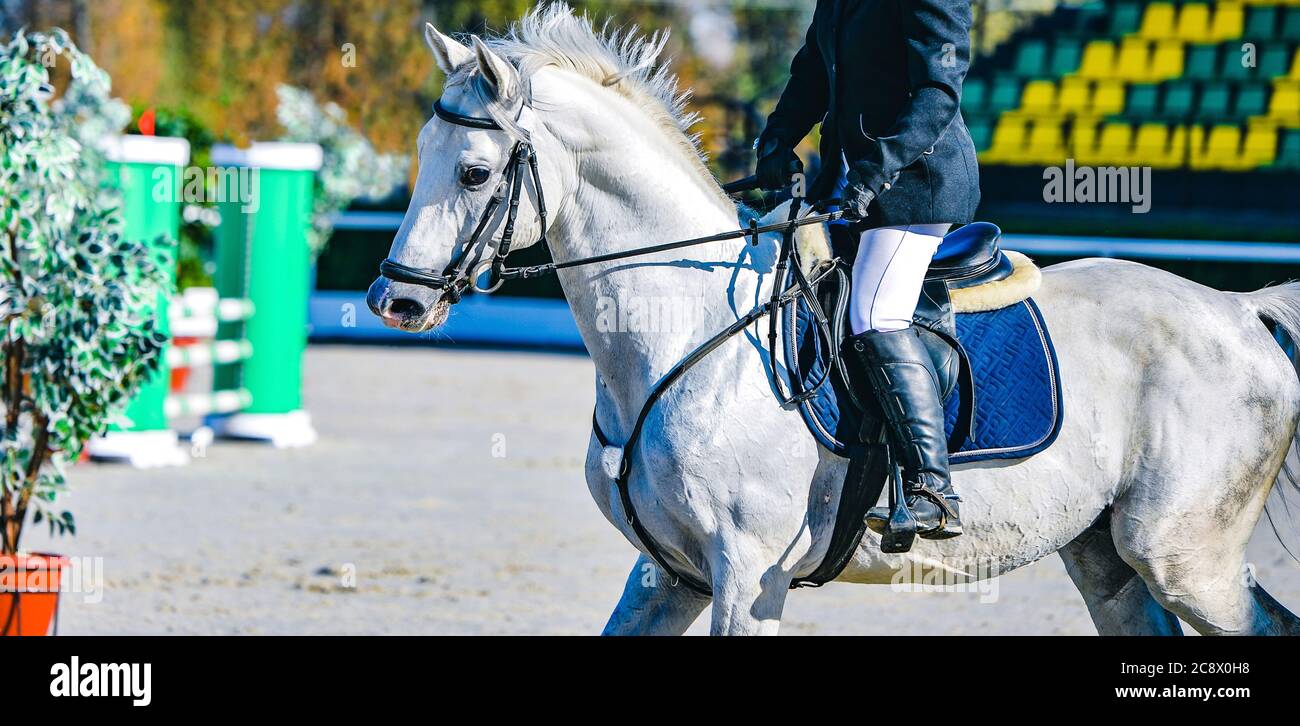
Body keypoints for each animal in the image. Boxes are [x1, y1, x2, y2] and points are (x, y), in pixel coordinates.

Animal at [366, 5, 1300, 635]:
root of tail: (1238, 309)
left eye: (476, 172)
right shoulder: (666, 575)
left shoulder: (748, 576)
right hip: (1107, 554)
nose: (396, 301)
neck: (680, 332)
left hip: (1183, 554)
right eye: (419, 155)